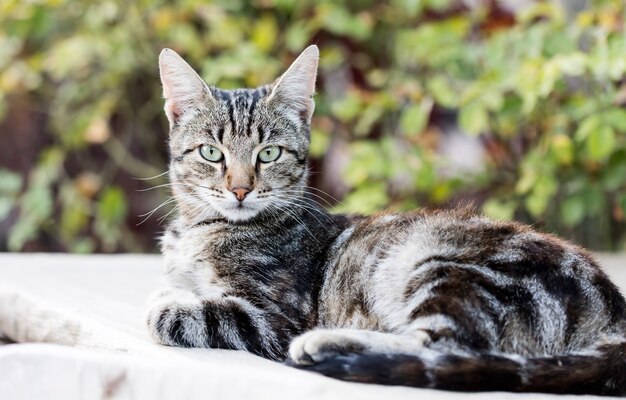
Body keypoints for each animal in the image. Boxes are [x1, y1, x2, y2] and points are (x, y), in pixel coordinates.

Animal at [146, 45, 624, 396]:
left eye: (269, 153)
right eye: (212, 153)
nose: (241, 189)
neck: (202, 231)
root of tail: (614, 311)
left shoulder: (275, 316)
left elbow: (184, 313)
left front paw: (171, 304)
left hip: (448, 268)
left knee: (442, 347)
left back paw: (326, 344)